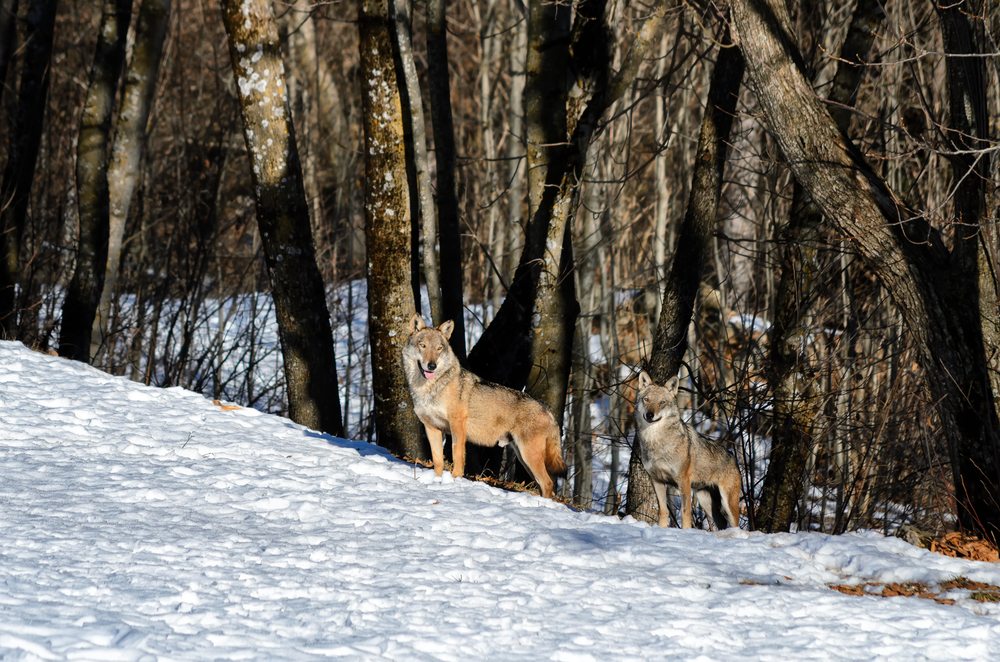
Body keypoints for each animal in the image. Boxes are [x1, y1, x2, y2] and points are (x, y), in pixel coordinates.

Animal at [402, 316, 568, 498]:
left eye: (439, 348)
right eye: (423, 345)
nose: (432, 366)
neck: (430, 388)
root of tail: (548, 411)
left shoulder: (457, 426)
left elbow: (457, 456)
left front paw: (454, 481)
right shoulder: (432, 428)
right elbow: (438, 461)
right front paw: (437, 482)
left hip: (529, 456)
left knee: (548, 483)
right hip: (524, 458)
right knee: (544, 484)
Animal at [636, 370, 740, 532]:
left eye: (662, 402)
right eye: (646, 400)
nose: (649, 415)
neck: (656, 442)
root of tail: (732, 457)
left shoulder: (683, 481)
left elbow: (685, 512)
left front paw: (685, 532)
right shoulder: (657, 480)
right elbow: (663, 511)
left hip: (728, 503)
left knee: (736, 524)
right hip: (706, 502)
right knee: (721, 523)